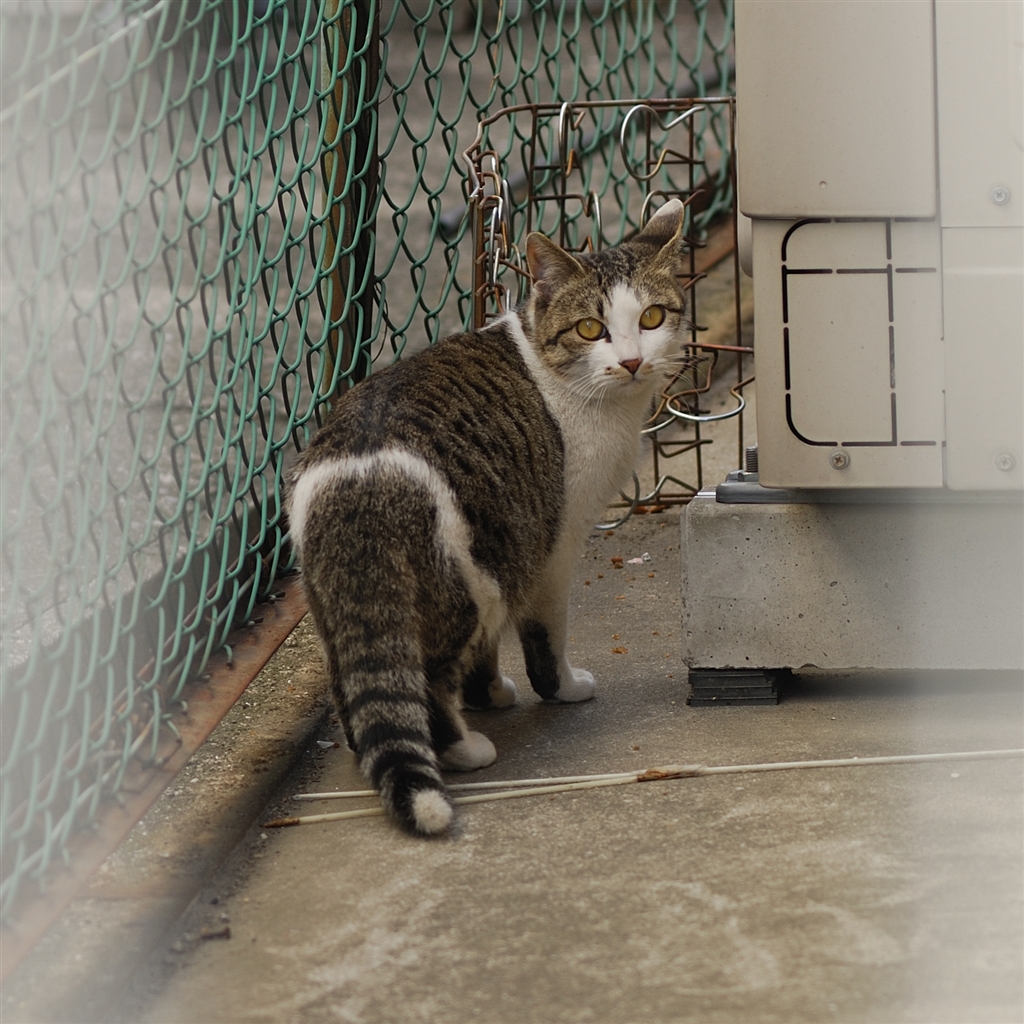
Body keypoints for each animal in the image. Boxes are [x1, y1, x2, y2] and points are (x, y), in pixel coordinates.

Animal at [287, 199, 689, 835]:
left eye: (652, 317)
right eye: (590, 329)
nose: (631, 362)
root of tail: (361, 474)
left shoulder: (516, 543)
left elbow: (485, 652)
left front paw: (489, 693)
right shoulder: (551, 543)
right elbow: (545, 635)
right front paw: (561, 687)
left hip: (339, 597)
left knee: (357, 683)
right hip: (469, 581)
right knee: (428, 675)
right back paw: (462, 749)